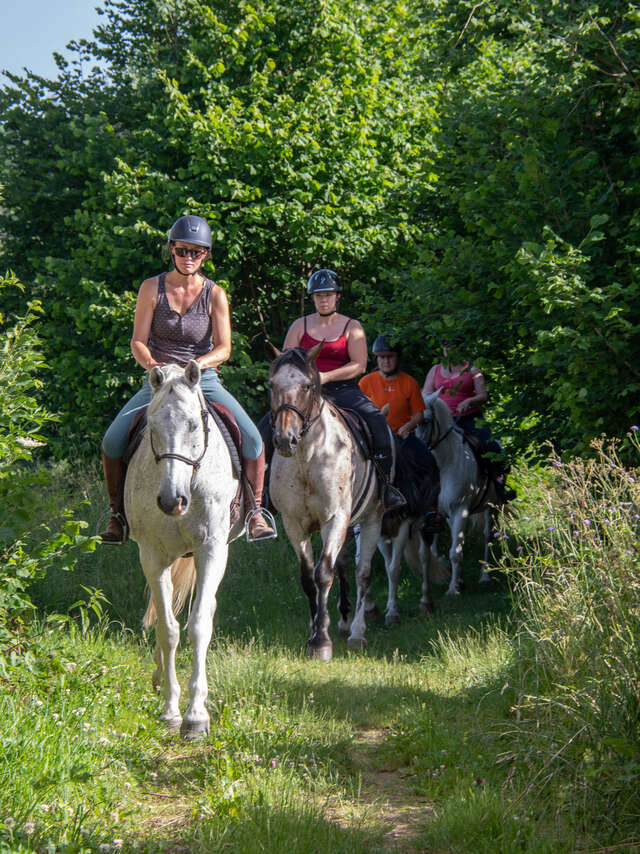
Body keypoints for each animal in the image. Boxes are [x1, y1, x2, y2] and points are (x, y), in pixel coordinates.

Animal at [124, 362, 240, 736]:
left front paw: (196, 716)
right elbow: (168, 629)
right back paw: (159, 675)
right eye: (152, 425)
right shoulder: (152, 557)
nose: (171, 501)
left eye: (192, 424)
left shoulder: (211, 550)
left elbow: (199, 625)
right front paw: (171, 710)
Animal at [266, 344, 384, 660]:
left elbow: (323, 574)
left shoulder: (335, 519)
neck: (308, 458)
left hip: (372, 519)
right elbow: (309, 578)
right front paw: (315, 630)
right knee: (343, 565)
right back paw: (342, 622)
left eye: (307, 386)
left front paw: (321, 641)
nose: (285, 440)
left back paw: (357, 633)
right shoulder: (294, 524)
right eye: (272, 385)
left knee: (363, 572)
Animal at [418, 392, 498, 600]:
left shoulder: (460, 510)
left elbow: (455, 551)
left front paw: (453, 589)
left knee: (488, 537)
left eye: (426, 420)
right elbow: (455, 546)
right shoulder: (445, 512)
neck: (446, 464)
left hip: (492, 506)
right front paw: (459, 581)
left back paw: (485, 576)